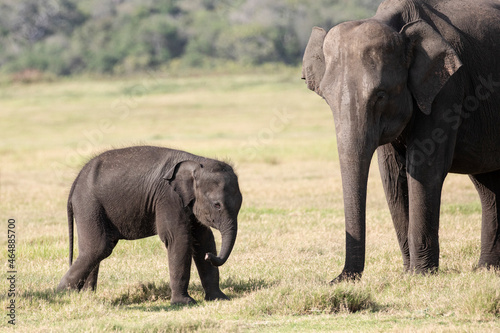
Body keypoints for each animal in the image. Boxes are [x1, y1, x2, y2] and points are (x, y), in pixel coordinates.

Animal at [57, 145, 243, 304]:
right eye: (217, 205)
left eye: (240, 204)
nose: (210, 257)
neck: (196, 161)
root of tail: (75, 182)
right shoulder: (168, 198)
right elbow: (178, 238)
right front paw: (184, 303)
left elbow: (204, 239)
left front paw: (219, 298)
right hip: (89, 205)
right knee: (98, 248)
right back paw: (61, 293)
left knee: (94, 250)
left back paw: (85, 295)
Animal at [300, 0, 500, 280]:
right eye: (326, 98)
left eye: (381, 95)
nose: (335, 280)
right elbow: (392, 176)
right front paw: (408, 273)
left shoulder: (447, 89)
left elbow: (424, 169)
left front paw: (420, 275)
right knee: (487, 185)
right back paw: (486, 269)